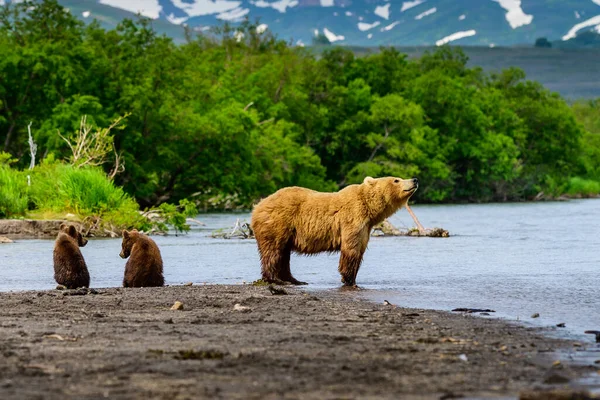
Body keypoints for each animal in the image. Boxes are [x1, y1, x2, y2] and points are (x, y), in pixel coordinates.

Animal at [251, 177, 420, 286]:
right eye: (396, 180)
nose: (415, 179)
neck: (370, 210)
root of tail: (257, 206)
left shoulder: (366, 227)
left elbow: (359, 250)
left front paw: (352, 278)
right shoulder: (352, 219)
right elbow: (351, 249)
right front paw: (349, 279)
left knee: (284, 254)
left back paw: (294, 280)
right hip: (278, 223)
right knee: (273, 250)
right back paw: (275, 279)